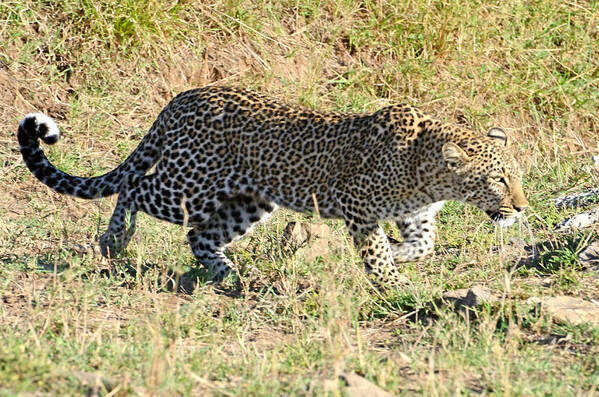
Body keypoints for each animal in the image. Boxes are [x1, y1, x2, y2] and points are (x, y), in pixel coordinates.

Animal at [16, 86, 528, 284]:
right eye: (499, 179)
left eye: (518, 178)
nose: (521, 208)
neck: (431, 177)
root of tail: (184, 96)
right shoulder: (357, 203)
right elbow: (377, 250)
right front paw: (390, 281)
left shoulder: (415, 217)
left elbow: (421, 245)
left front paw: (400, 260)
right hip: (190, 184)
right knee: (136, 188)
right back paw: (115, 240)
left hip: (248, 201)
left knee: (200, 236)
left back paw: (230, 276)